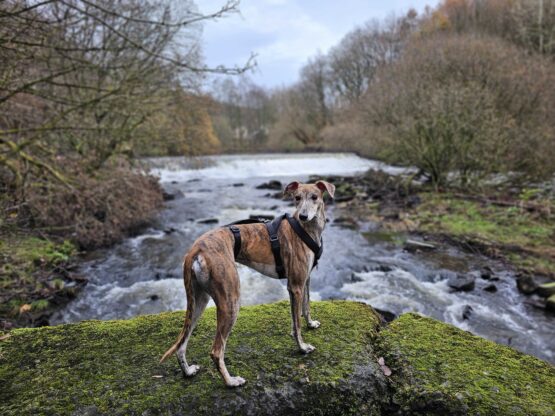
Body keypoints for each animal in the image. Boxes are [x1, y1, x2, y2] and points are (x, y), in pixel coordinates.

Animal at [159, 180, 336, 388]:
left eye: (314, 197)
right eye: (297, 198)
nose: (303, 215)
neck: (305, 229)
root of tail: (195, 250)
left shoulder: (305, 280)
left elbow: (306, 308)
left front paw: (311, 323)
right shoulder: (295, 287)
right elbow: (296, 325)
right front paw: (302, 347)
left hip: (198, 301)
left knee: (181, 343)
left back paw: (187, 371)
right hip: (231, 300)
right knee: (216, 351)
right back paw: (231, 381)